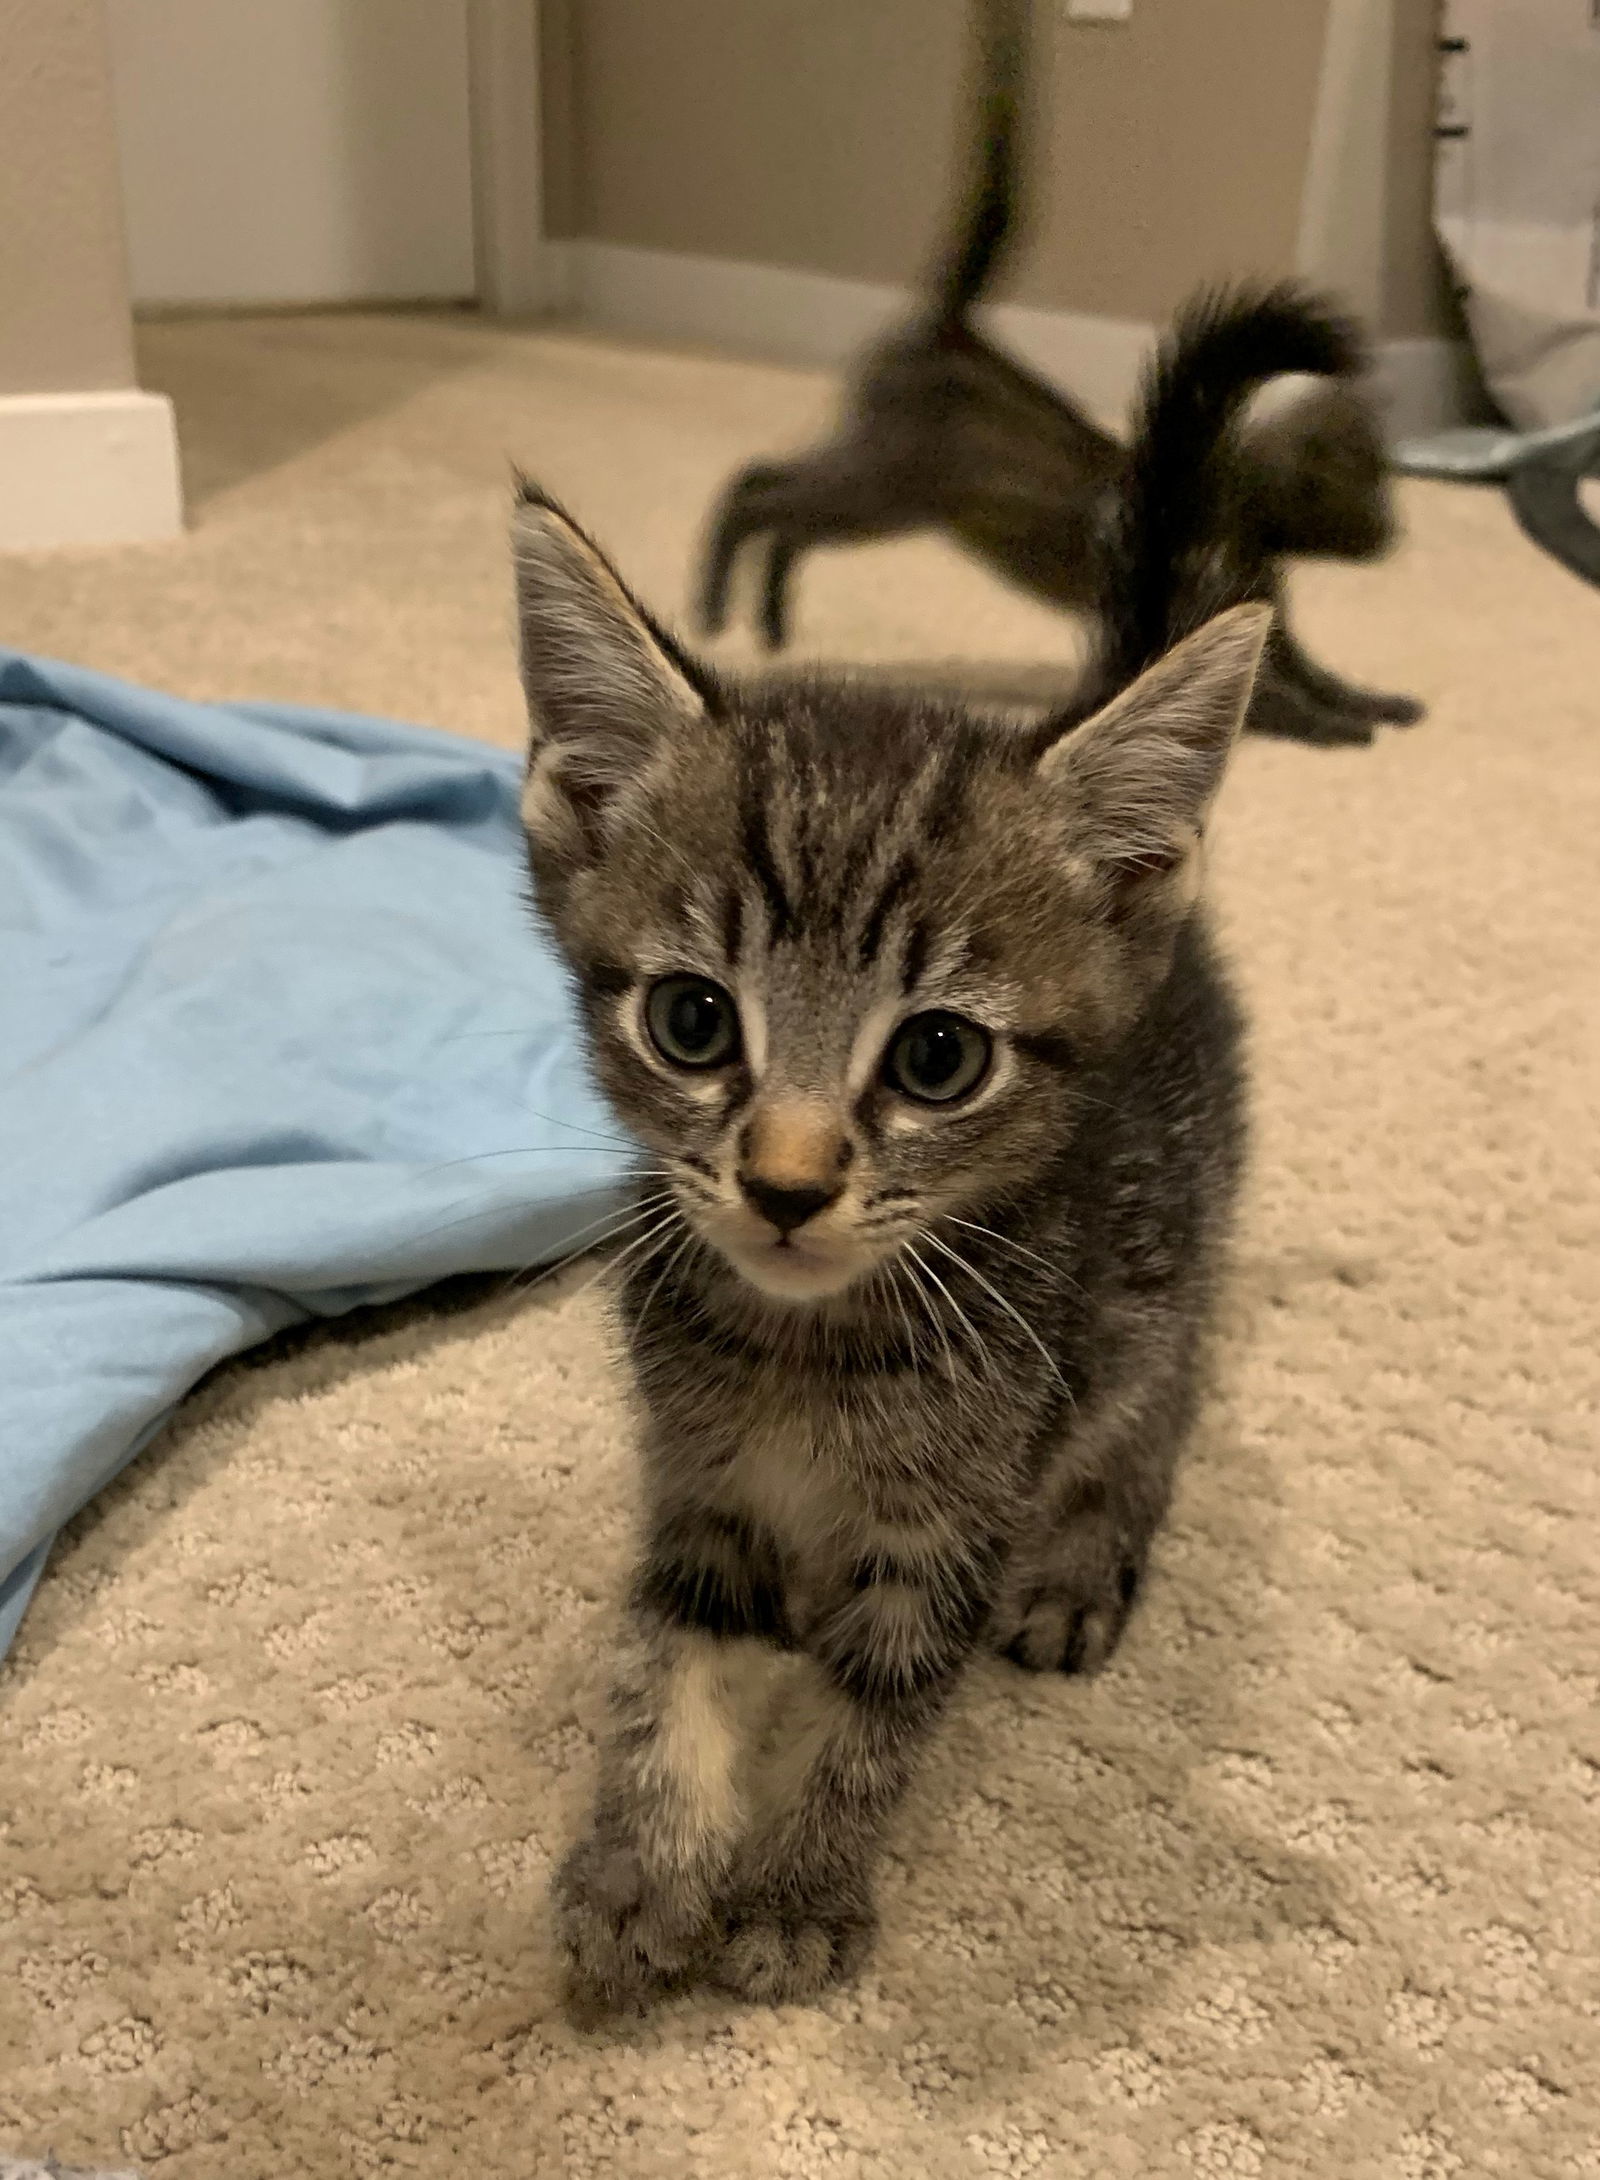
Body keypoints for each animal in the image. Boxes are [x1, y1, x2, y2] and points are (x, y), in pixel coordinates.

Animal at [514, 294, 1307, 2023]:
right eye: (692, 1020)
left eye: (937, 1057)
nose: (787, 1182)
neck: (803, 1355)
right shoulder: (693, 1492)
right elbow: (660, 1661)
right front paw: (638, 1867)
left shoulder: (958, 1520)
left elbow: (878, 1712)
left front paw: (799, 1890)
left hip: (1158, 1287)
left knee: (1162, 1401)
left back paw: (1085, 1562)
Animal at [697, 0, 1421, 745]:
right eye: (1369, 489)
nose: (1397, 532)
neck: (1248, 532)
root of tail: (952, 327)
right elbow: (1275, 697)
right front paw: (1339, 728)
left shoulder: (1269, 624)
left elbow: (1319, 673)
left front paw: (1378, 702)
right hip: (884, 488)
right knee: (758, 488)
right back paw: (717, 609)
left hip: (884, 494)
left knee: (785, 512)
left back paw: (773, 623)